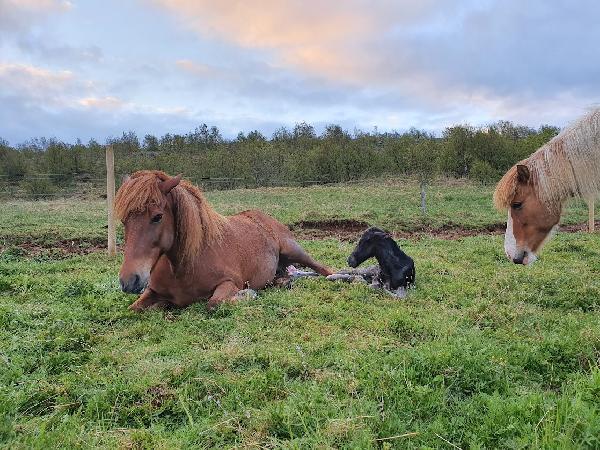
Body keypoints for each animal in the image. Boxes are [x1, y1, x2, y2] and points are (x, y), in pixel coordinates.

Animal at [115, 171, 332, 312]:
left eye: (158, 217)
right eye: (124, 220)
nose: (129, 281)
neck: (182, 268)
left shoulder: (228, 282)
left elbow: (213, 304)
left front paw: (248, 294)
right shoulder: (151, 291)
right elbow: (134, 307)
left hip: (294, 250)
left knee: (324, 270)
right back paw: (282, 281)